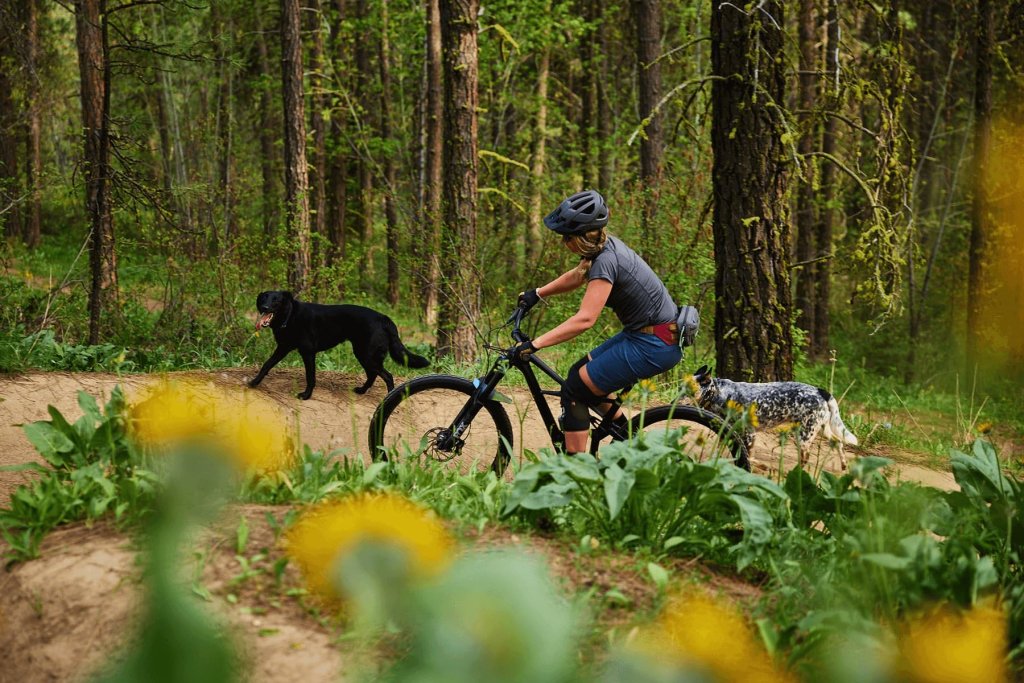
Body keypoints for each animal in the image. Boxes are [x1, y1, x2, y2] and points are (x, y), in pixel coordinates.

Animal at [249, 290, 430, 401]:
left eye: (276, 300)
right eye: (264, 298)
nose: (264, 307)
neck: (290, 315)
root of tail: (384, 318)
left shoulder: (308, 353)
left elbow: (310, 376)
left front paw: (306, 395)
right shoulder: (283, 348)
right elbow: (267, 365)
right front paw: (254, 382)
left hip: (367, 354)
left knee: (387, 376)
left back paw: (388, 398)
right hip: (362, 353)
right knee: (373, 374)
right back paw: (362, 390)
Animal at [692, 362, 860, 471]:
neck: (720, 393)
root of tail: (820, 391)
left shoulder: (749, 435)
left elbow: (747, 456)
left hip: (804, 437)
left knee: (805, 458)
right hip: (823, 430)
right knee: (839, 443)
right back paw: (843, 465)